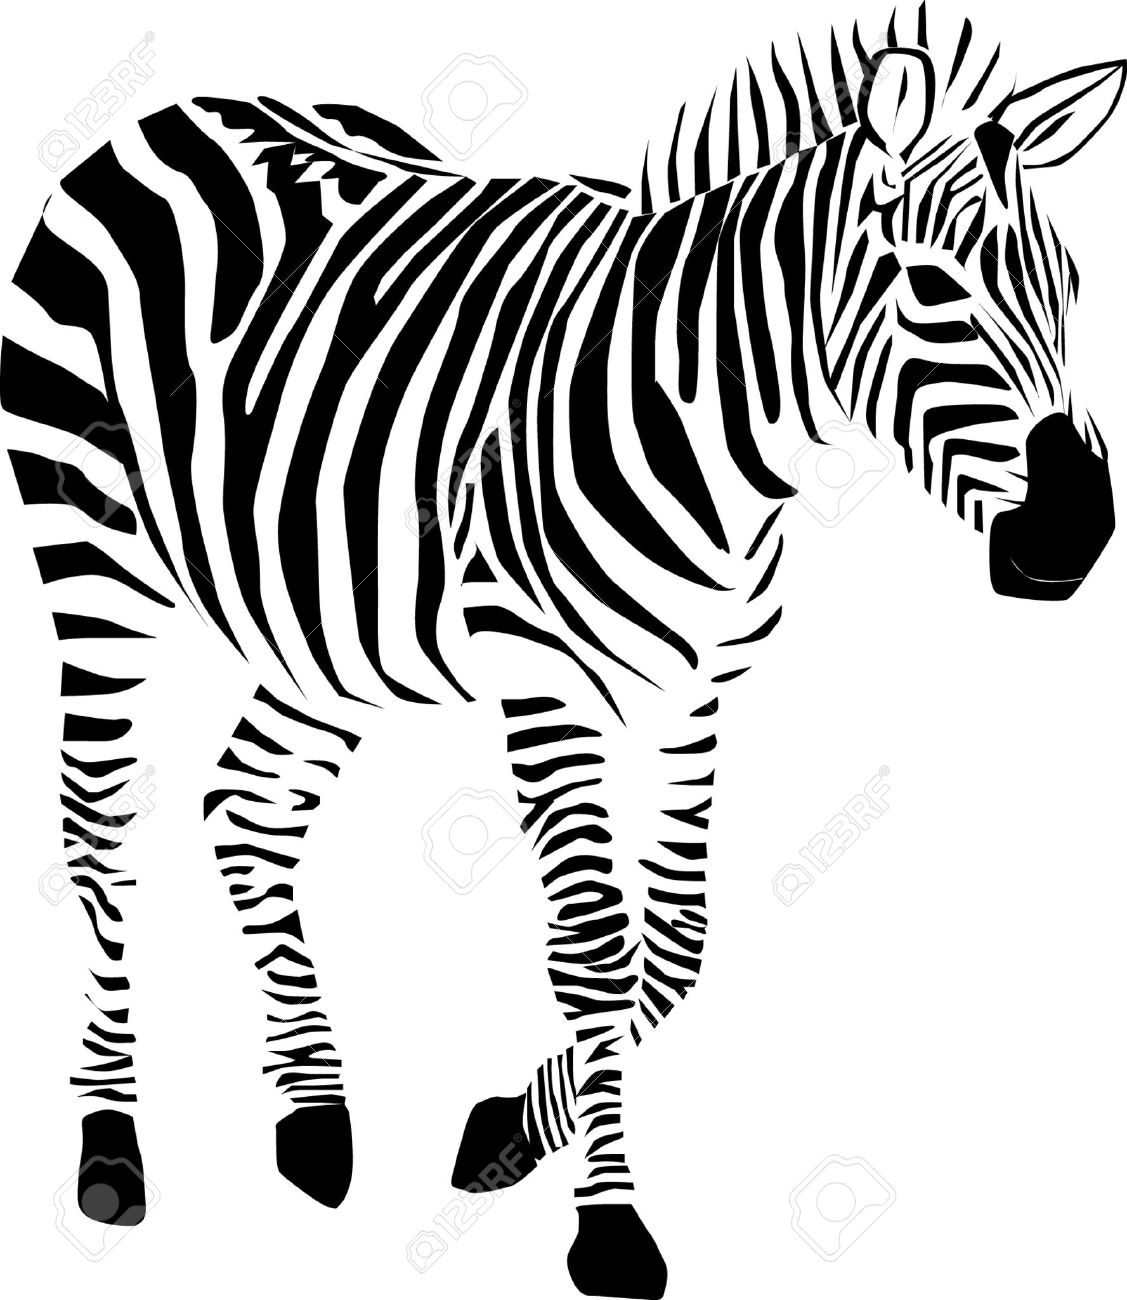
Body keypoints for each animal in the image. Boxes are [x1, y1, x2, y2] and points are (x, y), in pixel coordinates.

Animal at [2, 9, 1120, 1296]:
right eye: (931, 287)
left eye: (1073, 288)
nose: (1078, 530)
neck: (709, 431)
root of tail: (172, 110)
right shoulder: (545, 690)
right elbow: (592, 950)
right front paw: (609, 1229)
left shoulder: (697, 693)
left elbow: (671, 951)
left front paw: (500, 1131)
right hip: (92, 557)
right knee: (96, 830)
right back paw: (111, 1149)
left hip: (325, 619)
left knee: (249, 801)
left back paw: (314, 1120)